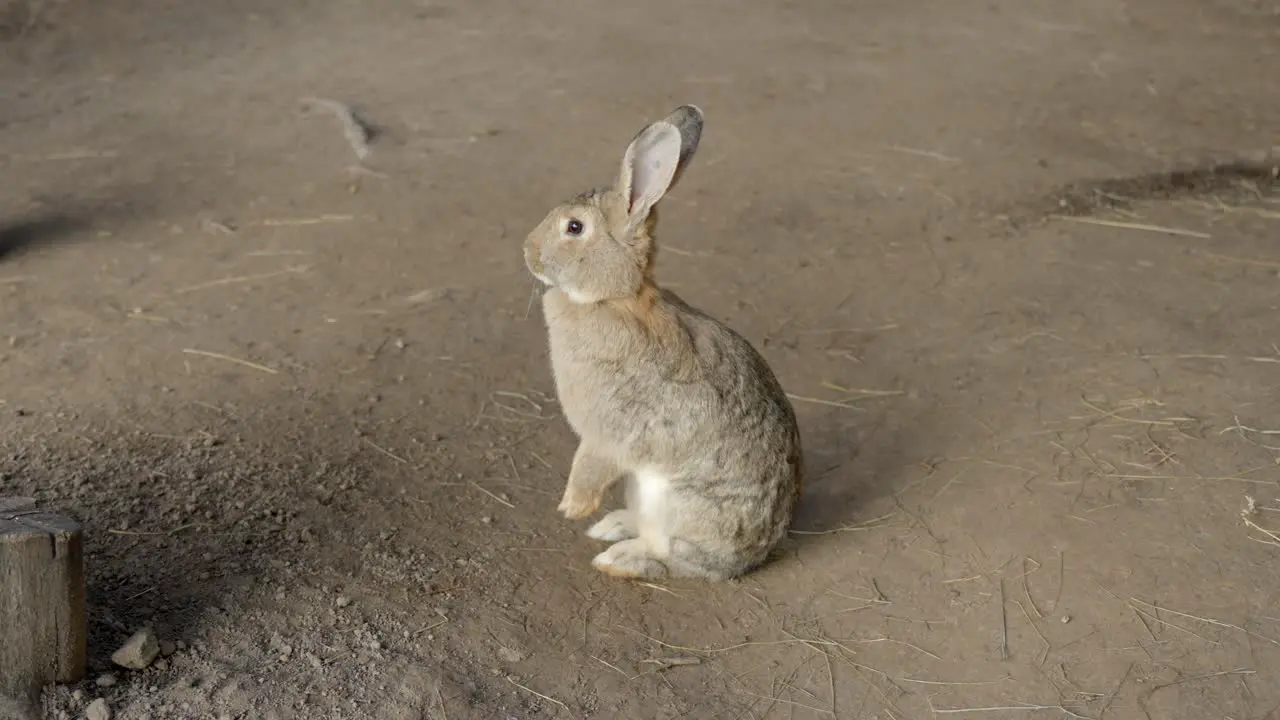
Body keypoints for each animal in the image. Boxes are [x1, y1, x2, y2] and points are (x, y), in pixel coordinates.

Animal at [522, 103, 803, 579]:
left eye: (574, 227)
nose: (527, 252)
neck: (612, 299)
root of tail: (750, 558)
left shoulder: (608, 429)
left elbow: (591, 463)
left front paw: (572, 507)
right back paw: (613, 528)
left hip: (670, 505)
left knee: (673, 558)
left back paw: (619, 558)